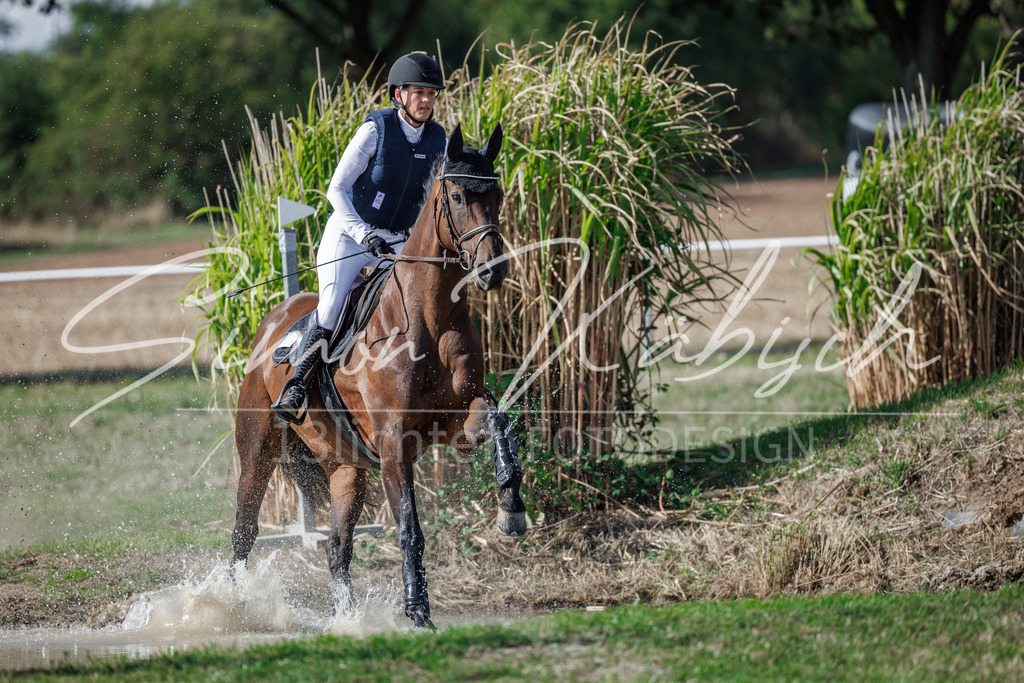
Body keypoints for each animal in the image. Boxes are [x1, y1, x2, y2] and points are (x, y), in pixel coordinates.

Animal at [229, 123, 525, 630]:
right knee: (243, 533)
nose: (492, 270)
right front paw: (418, 610)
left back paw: (348, 619)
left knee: (336, 547)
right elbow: (409, 526)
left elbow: (497, 420)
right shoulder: (392, 442)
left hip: (345, 468)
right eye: (459, 196)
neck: (432, 317)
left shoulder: (455, 424)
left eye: (497, 195)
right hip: (258, 452)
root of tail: (273, 320)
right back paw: (223, 604)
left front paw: (511, 509)